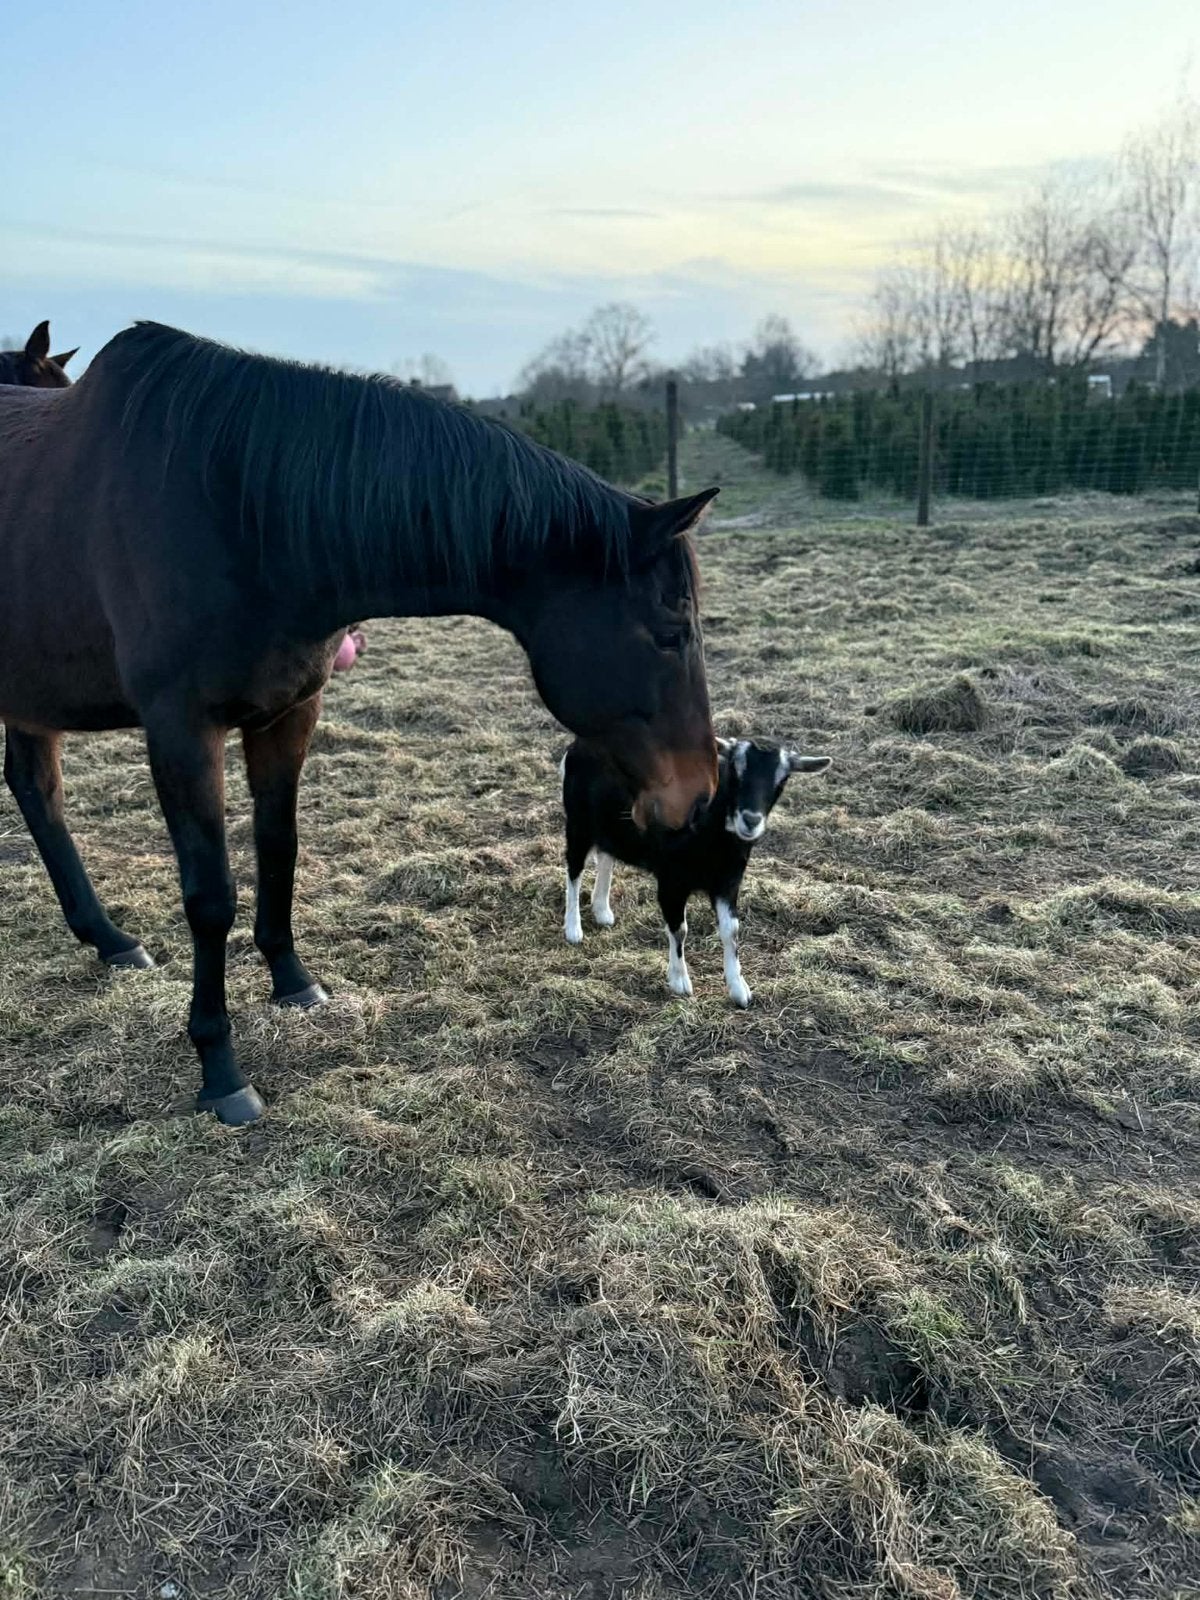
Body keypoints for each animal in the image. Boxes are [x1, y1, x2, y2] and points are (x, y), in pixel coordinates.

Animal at [0, 322, 719, 1124]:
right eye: (670, 633)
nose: (700, 793)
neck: (235, 510)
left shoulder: (289, 712)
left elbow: (279, 848)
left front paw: (292, 980)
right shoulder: (181, 731)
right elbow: (209, 896)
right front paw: (221, 1069)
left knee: (35, 791)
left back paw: (107, 938)